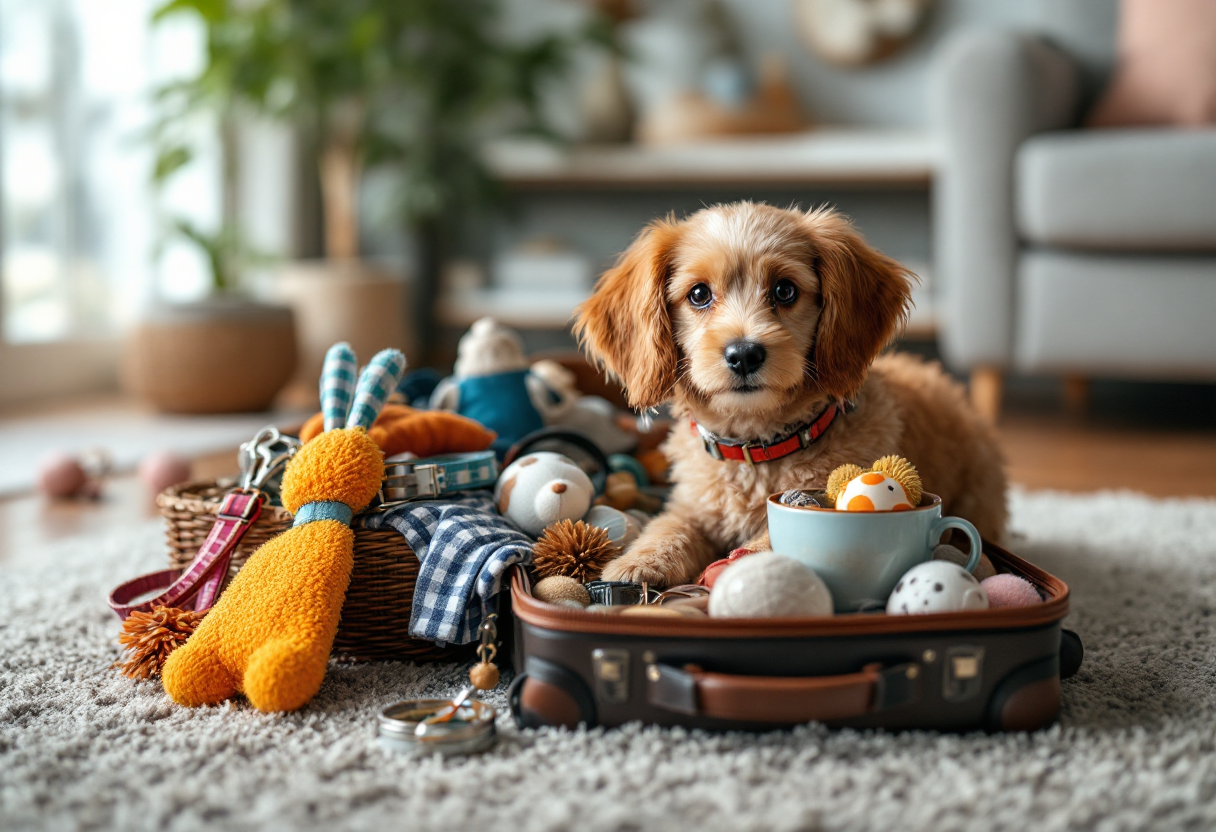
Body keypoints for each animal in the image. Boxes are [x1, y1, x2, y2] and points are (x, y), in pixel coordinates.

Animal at [573, 204, 1001, 588]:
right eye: (698, 294)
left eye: (784, 290)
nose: (744, 354)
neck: (757, 449)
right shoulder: (693, 506)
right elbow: (669, 527)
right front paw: (638, 562)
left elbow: (769, 541)